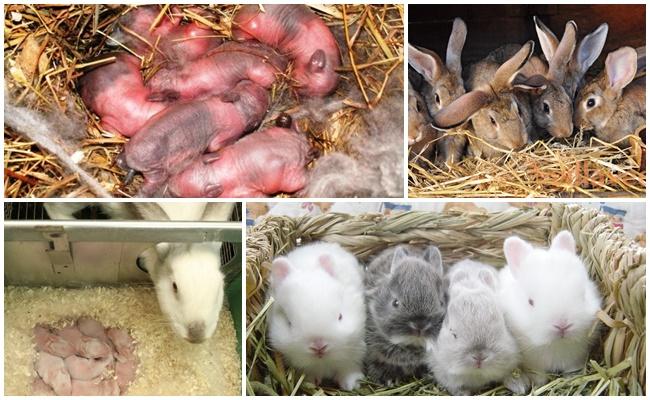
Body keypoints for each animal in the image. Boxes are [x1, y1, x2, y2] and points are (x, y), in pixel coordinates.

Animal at [267, 242, 366, 391]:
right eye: (289, 323)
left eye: (340, 316)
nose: (319, 346)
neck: (324, 362)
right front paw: (311, 383)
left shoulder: (355, 349)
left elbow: (348, 367)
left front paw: (350, 385)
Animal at [498, 231, 602, 389]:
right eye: (530, 302)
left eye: (583, 295)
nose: (562, 325)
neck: (556, 344)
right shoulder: (532, 362)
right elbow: (537, 373)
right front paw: (539, 382)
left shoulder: (576, 356)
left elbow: (572, 368)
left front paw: (572, 378)